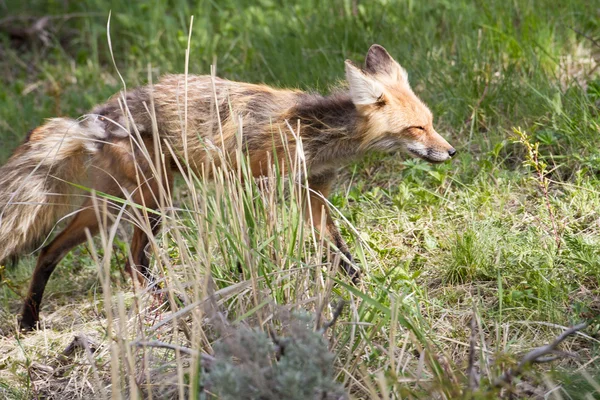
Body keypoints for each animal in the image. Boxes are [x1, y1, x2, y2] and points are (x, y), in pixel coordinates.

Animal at [0, 44, 454, 332]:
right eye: (416, 129)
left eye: (431, 123)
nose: (451, 152)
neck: (315, 136)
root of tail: (93, 116)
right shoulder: (265, 188)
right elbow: (274, 248)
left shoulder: (313, 195)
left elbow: (340, 254)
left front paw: (366, 289)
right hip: (153, 202)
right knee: (131, 263)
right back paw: (171, 308)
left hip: (107, 210)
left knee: (48, 252)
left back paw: (28, 322)